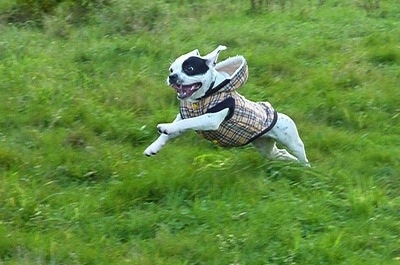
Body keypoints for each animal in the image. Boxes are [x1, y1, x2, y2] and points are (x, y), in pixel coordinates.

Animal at [143, 45, 310, 165]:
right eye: (171, 69)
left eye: (189, 69)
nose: (172, 76)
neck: (202, 97)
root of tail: (280, 114)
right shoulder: (184, 117)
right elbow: (172, 130)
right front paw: (154, 147)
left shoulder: (210, 119)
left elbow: (188, 121)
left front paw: (165, 127)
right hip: (265, 148)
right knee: (281, 154)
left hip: (293, 142)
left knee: (302, 157)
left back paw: (305, 169)